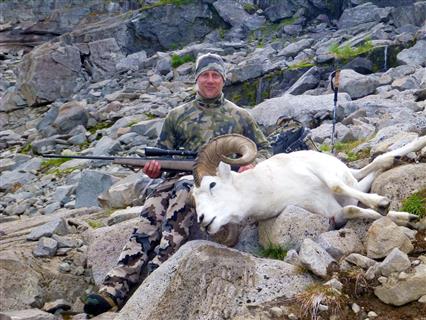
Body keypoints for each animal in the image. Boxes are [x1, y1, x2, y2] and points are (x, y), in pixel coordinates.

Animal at [194, 134, 426, 234]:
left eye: (212, 185)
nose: (203, 221)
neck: (269, 189)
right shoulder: (333, 214)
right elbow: (353, 210)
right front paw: (407, 218)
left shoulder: (319, 170)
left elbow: (335, 185)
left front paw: (382, 203)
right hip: (354, 182)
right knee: (370, 172)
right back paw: (394, 161)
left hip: (343, 172)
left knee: (369, 167)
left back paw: (416, 143)